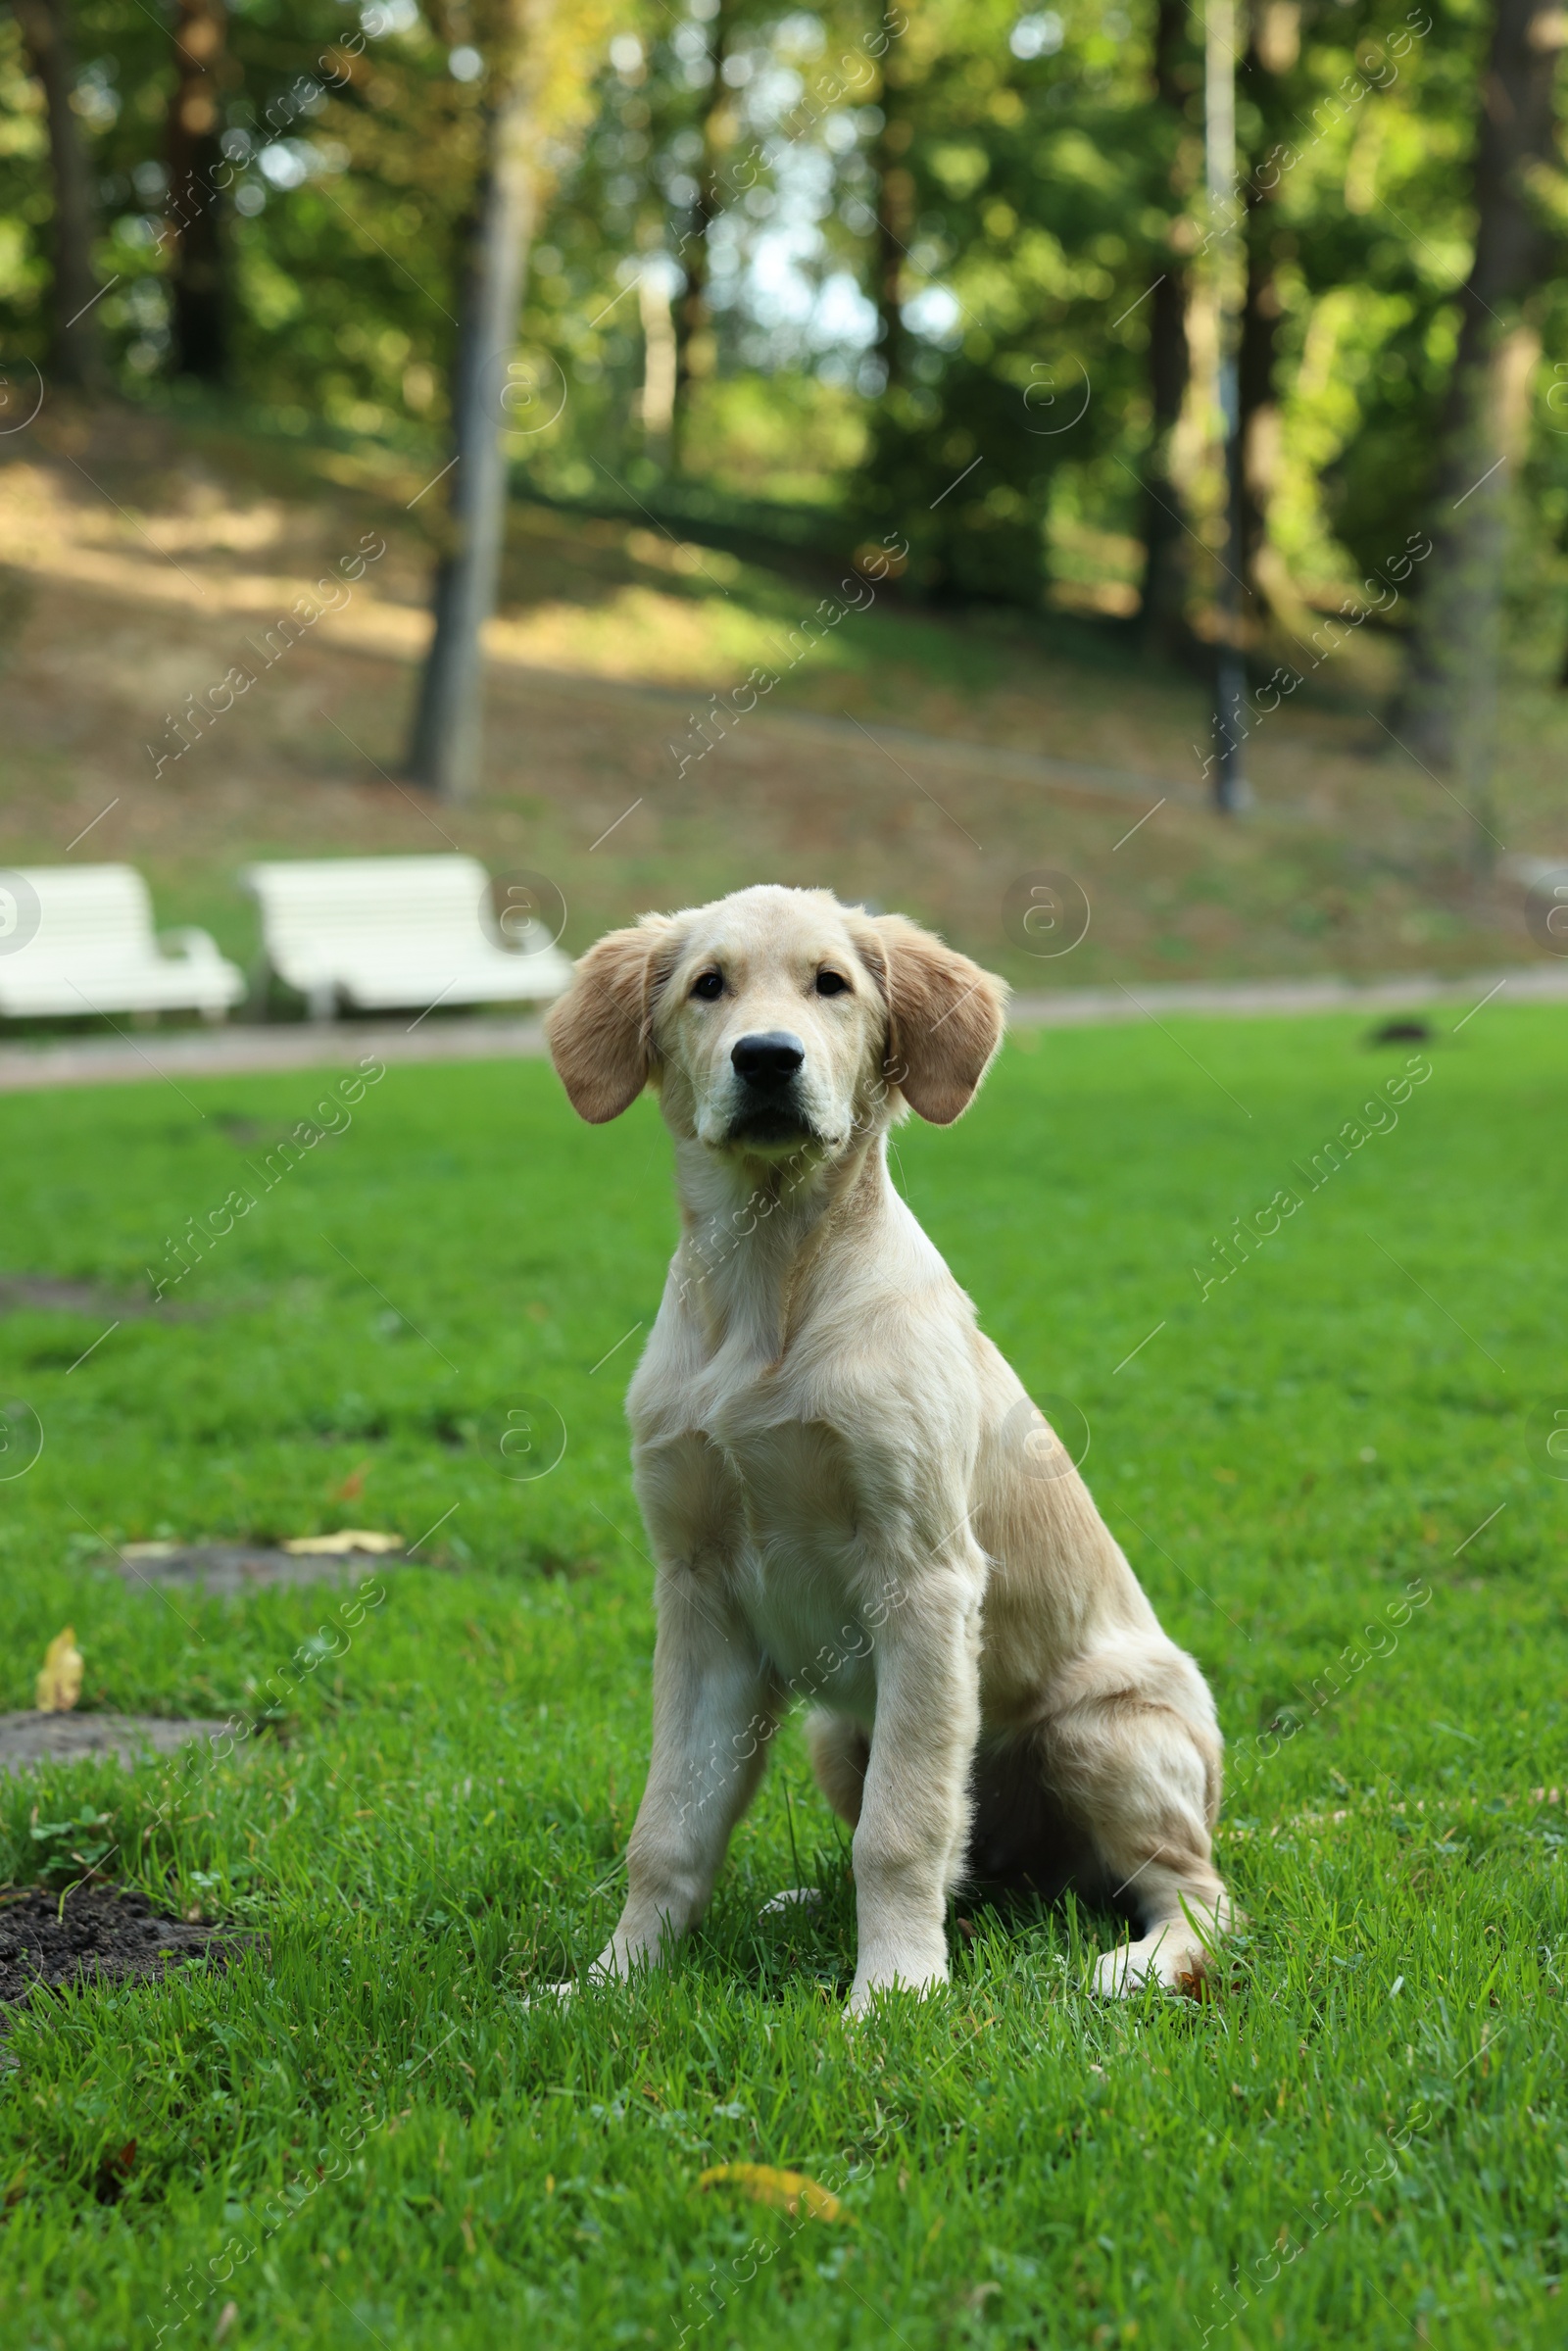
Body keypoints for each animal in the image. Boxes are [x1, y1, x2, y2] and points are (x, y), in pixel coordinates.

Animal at [545, 884, 1231, 2002]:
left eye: (832, 983)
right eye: (708, 985)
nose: (766, 1058)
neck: (769, 1290)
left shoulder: (924, 1577)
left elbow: (902, 1829)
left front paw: (894, 1994)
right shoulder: (695, 1591)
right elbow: (670, 1825)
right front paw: (617, 1980)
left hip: (1102, 1730)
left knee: (1199, 1892)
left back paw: (1128, 1965)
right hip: (836, 1732)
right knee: (977, 1870)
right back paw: (808, 1904)